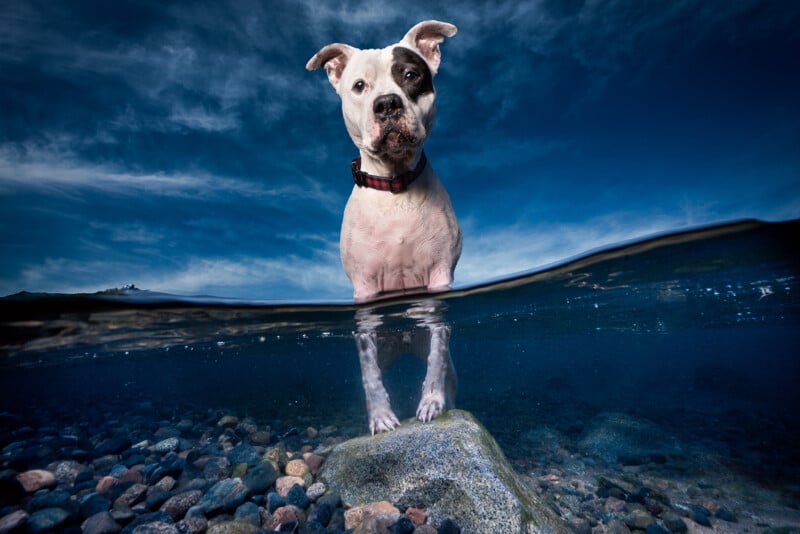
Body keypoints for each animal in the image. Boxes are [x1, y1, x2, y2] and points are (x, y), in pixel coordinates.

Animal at [308, 21, 462, 436]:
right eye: (359, 85)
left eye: (410, 76)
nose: (388, 104)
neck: (395, 187)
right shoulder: (364, 293)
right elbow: (369, 372)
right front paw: (380, 414)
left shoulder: (439, 279)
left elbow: (438, 355)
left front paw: (432, 401)